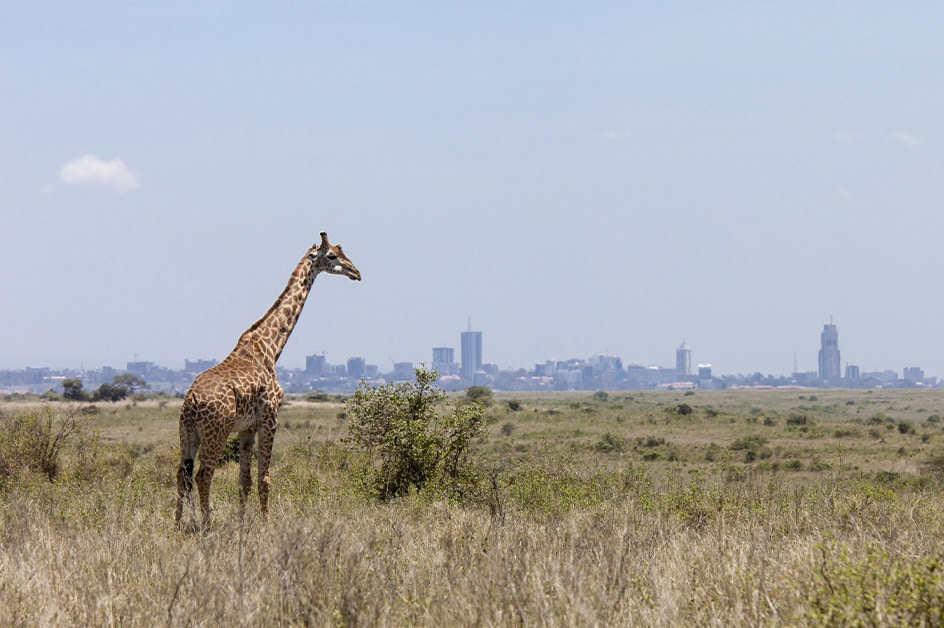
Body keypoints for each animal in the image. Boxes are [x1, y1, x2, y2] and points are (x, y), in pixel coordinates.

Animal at [175, 233, 360, 528]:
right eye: (332, 255)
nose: (356, 272)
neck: (271, 347)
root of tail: (191, 401)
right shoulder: (270, 417)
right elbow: (264, 479)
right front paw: (265, 525)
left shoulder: (247, 427)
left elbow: (244, 481)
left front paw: (242, 525)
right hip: (216, 432)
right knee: (203, 475)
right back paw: (207, 526)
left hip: (187, 432)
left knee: (181, 475)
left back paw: (178, 525)